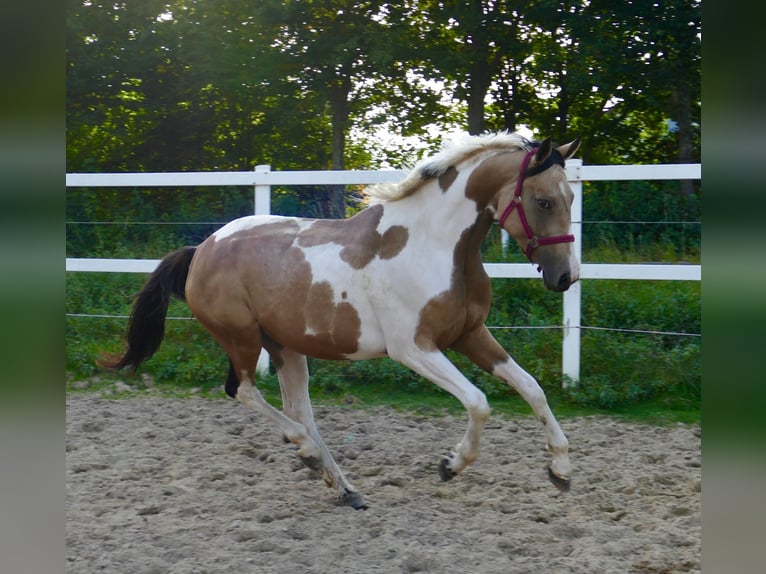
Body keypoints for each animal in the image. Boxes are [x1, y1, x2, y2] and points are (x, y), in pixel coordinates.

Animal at [106, 133, 584, 510]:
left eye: (571, 198)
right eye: (542, 200)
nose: (566, 277)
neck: (435, 244)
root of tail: (202, 249)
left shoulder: (469, 334)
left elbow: (532, 389)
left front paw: (560, 469)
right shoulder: (413, 348)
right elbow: (479, 402)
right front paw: (451, 465)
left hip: (285, 346)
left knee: (299, 410)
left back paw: (342, 486)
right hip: (241, 338)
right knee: (243, 391)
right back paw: (306, 452)